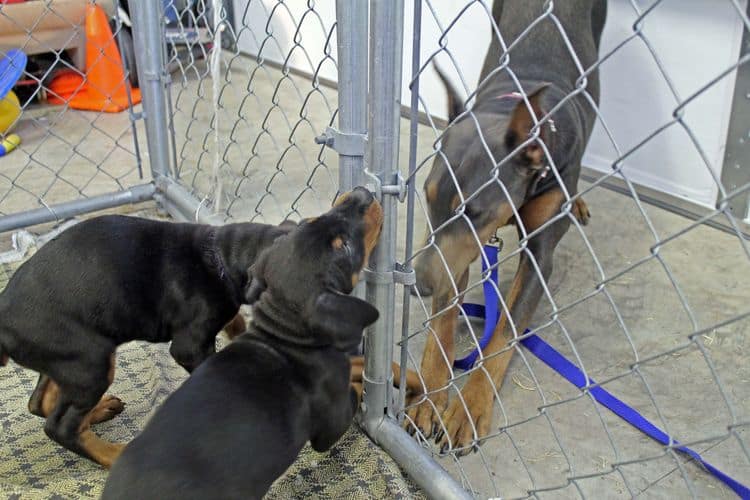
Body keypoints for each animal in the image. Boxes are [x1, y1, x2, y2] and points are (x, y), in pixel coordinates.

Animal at [0, 215, 296, 468]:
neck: (220, 256)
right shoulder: (190, 347)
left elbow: (237, 325)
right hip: (90, 361)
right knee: (60, 426)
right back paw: (113, 454)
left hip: (66, 360)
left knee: (40, 403)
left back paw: (99, 411)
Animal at [100, 188, 384, 500]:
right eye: (344, 246)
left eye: (311, 220)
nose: (363, 193)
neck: (283, 334)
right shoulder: (329, 425)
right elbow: (350, 393)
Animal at [408, 0, 608, 454]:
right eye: (426, 195)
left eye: (473, 210)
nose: (419, 284)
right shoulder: (455, 251)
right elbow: (443, 322)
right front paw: (429, 396)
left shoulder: (539, 255)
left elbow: (504, 332)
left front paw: (468, 408)